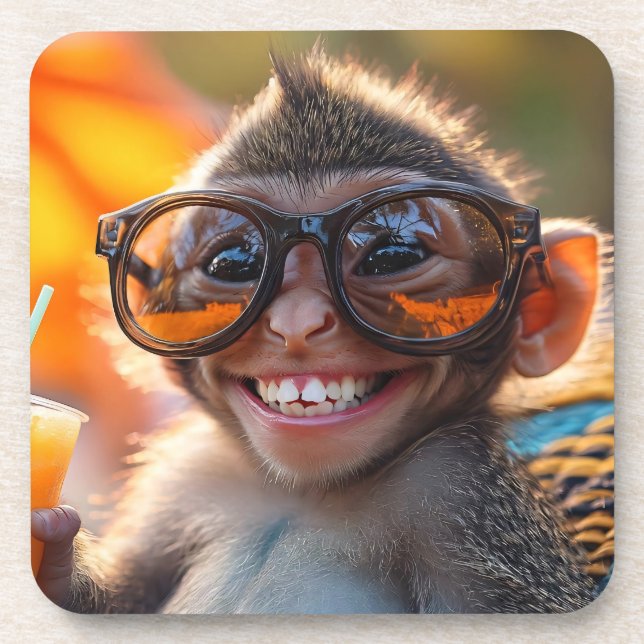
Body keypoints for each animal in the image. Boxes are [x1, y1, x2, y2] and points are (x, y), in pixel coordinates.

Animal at [31, 47, 611, 614]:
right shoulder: (183, 478)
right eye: (232, 263)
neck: (305, 492)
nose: (297, 323)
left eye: (392, 255)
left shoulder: (460, 490)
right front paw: (53, 550)